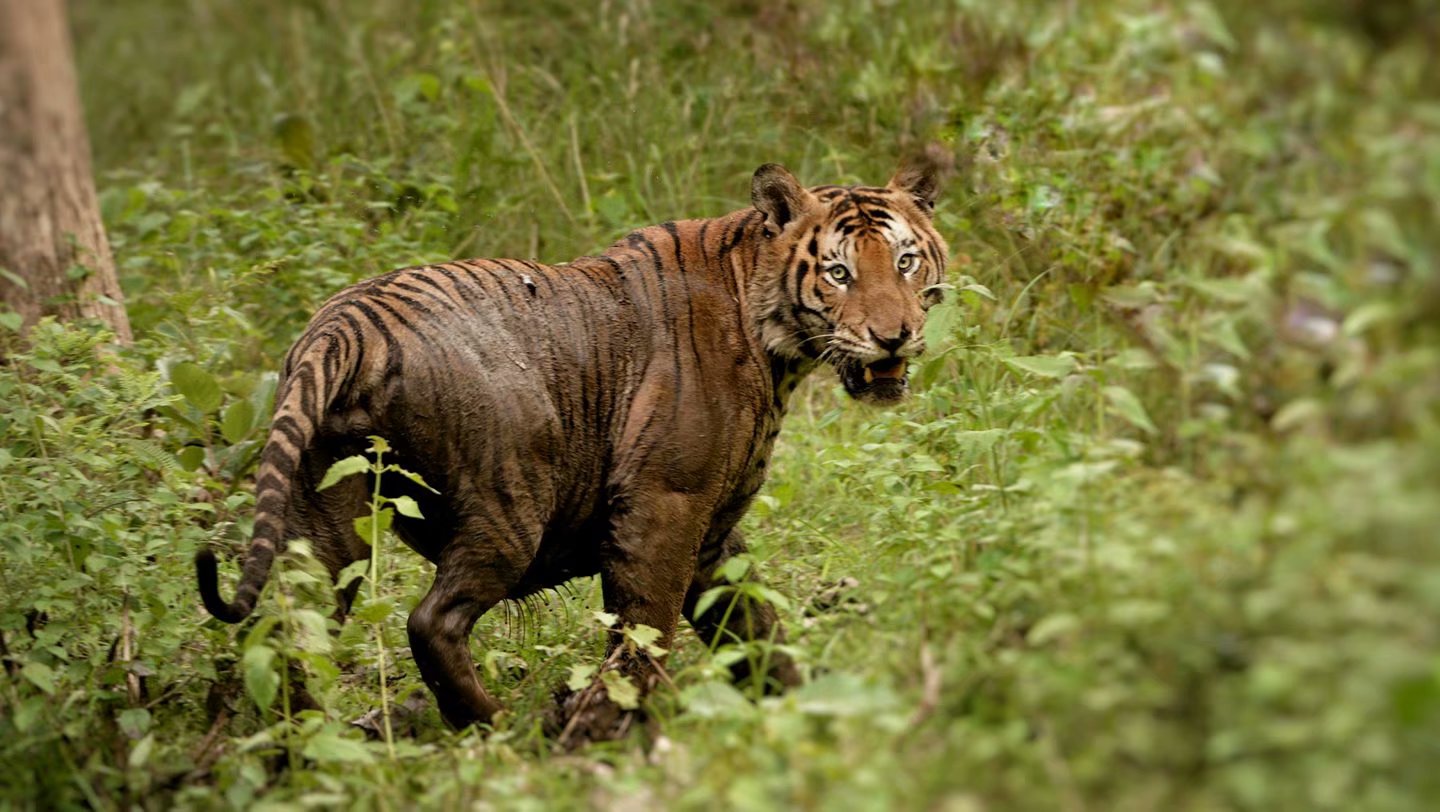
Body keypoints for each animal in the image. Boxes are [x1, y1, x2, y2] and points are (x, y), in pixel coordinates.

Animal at [197, 146, 950, 737]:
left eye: (906, 262)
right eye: (839, 273)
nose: (894, 336)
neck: (776, 342)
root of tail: (346, 324)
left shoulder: (714, 526)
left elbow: (753, 622)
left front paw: (801, 710)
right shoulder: (664, 505)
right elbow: (645, 629)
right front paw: (610, 724)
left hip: (327, 520)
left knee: (286, 632)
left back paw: (296, 745)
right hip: (509, 504)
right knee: (431, 621)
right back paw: (499, 729)